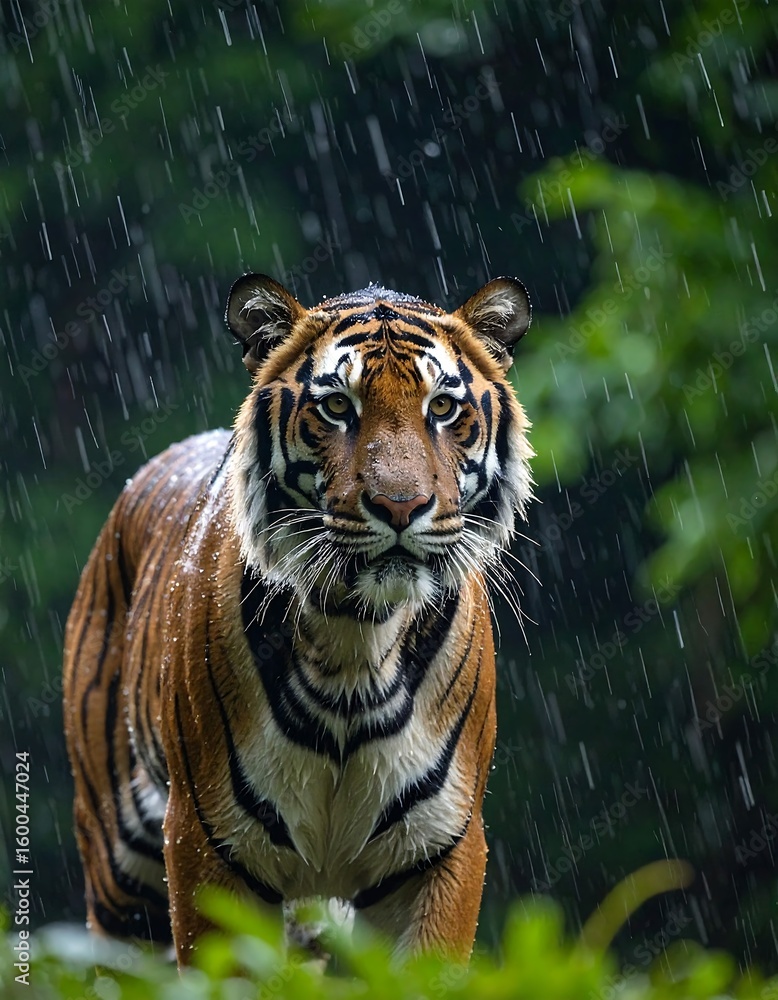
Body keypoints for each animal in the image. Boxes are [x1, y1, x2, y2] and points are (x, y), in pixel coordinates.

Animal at [62, 272, 533, 965]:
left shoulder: (440, 847)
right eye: (337, 407)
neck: (356, 635)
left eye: (443, 409)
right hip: (120, 874)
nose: (401, 506)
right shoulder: (206, 842)